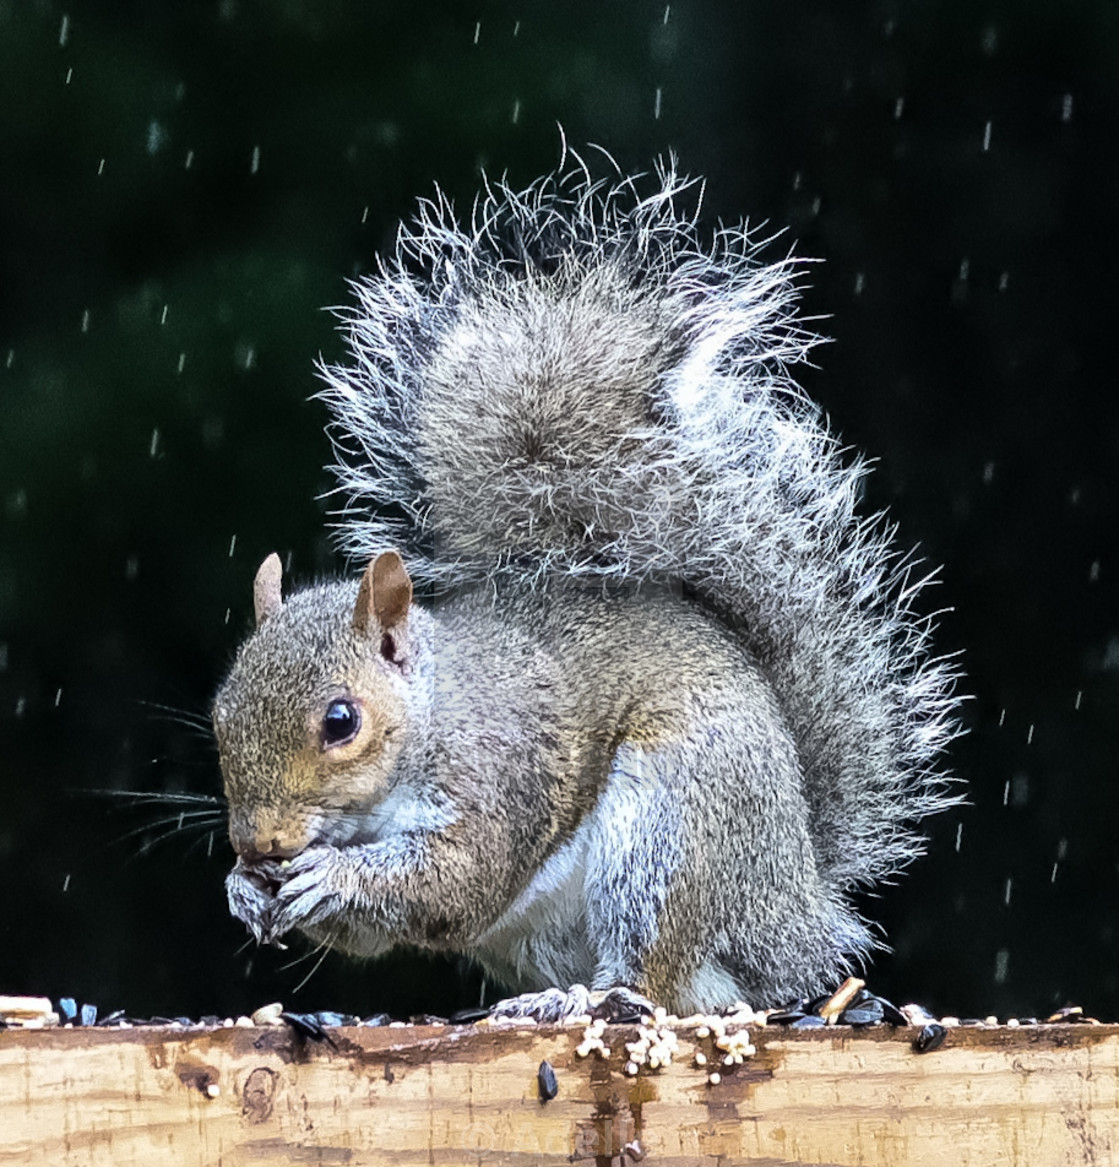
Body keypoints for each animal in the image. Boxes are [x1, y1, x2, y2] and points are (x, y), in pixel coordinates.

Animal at [212, 157, 961, 1022]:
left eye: (341, 721)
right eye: (220, 712)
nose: (258, 843)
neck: (429, 718)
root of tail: (793, 914)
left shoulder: (502, 773)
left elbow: (453, 883)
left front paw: (325, 874)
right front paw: (244, 890)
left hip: (670, 833)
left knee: (655, 983)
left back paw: (577, 1002)